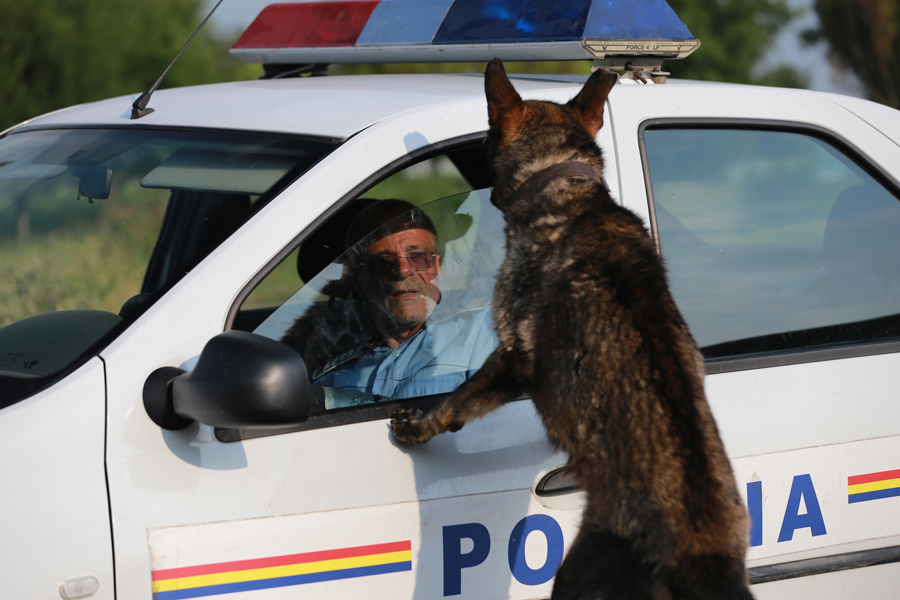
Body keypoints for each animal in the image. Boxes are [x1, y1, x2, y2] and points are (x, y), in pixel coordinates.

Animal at [392, 57, 752, 600]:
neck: (561, 182)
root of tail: (696, 555)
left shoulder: (511, 357)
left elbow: (458, 400)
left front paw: (420, 425)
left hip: (575, 574)